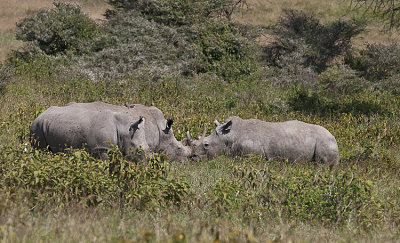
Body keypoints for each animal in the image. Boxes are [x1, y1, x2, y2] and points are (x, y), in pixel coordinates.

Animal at [189, 116, 340, 165]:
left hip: (325, 141)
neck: (230, 136)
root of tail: (334, 136)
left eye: (206, 145)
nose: (193, 158)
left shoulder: (251, 154)